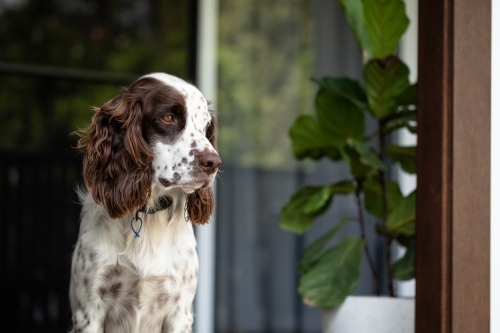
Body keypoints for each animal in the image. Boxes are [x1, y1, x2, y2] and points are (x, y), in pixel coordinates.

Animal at [69, 73, 221, 332]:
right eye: (168, 117)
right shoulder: (88, 310)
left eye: (204, 126)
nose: (213, 163)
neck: (148, 214)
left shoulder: (180, 311)